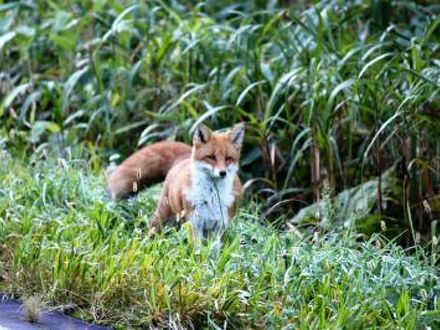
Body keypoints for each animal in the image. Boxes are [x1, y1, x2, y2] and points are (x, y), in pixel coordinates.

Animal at [106, 123, 244, 240]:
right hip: (163, 217)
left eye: (228, 158)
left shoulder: (219, 227)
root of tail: (185, 157)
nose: (222, 173)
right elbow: (198, 252)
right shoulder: (194, 223)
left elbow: (213, 253)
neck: (212, 197)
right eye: (211, 157)